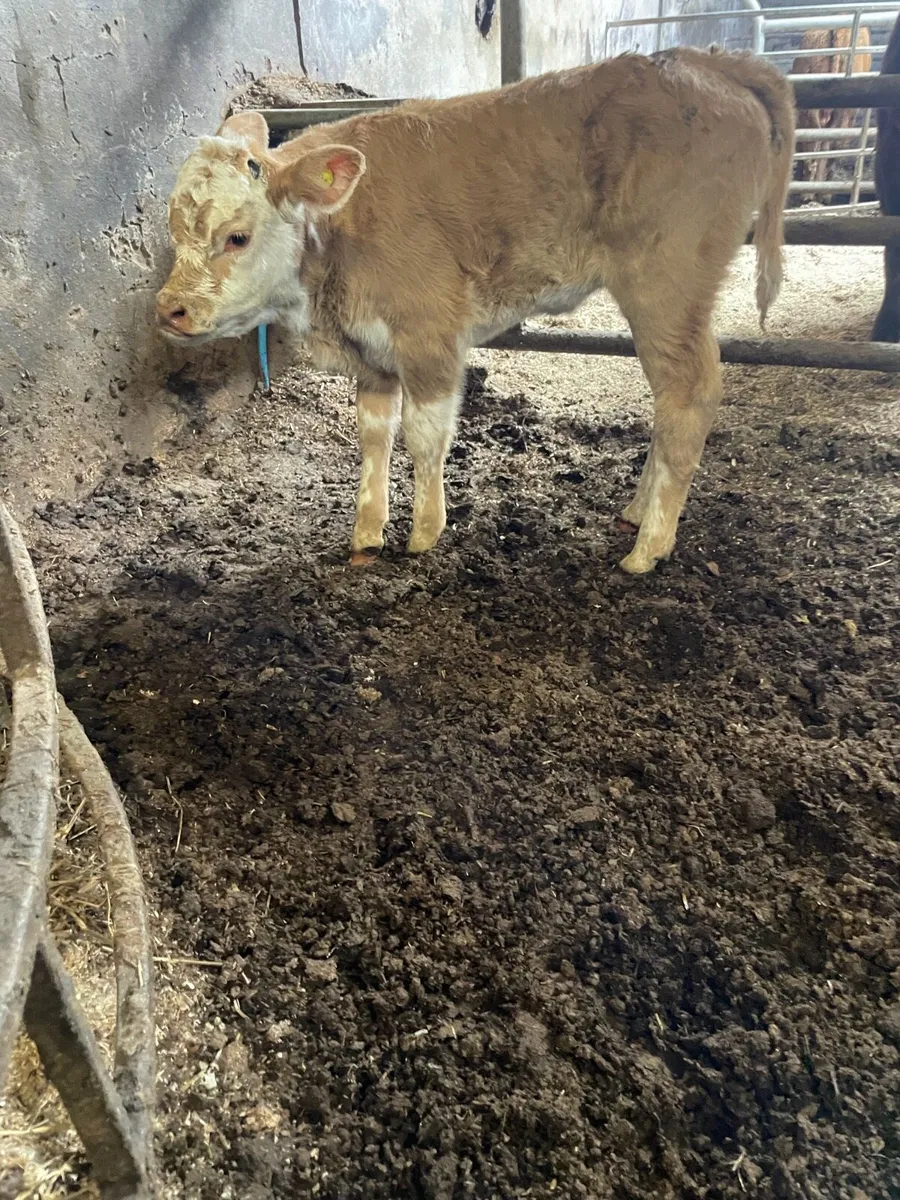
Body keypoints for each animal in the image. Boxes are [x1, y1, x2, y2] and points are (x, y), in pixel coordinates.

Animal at [156, 48, 794, 575]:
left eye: (237, 237)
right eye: (174, 230)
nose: (170, 310)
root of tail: (709, 61)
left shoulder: (429, 333)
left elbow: (424, 434)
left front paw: (424, 533)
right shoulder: (371, 354)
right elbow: (373, 436)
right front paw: (366, 534)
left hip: (667, 285)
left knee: (689, 395)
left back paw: (650, 546)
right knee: (670, 405)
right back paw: (636, 513)